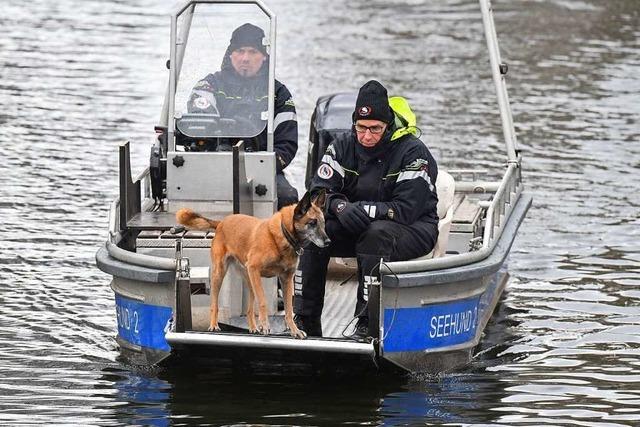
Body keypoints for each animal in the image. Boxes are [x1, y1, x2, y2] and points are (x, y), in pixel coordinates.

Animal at [176, 190, 330, 338]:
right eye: (312, 223)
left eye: (323, 223)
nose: (328, 242)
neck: (284, 235)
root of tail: (221, 222)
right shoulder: (256, 270)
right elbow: (263, 302)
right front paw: (266, 326)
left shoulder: (286, 280)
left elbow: (288, 309)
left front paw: (294, 330)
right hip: (219, 275)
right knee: (215, 303)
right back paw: (214, 325)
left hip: (250, 281)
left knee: (249, 310)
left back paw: (253, 327)